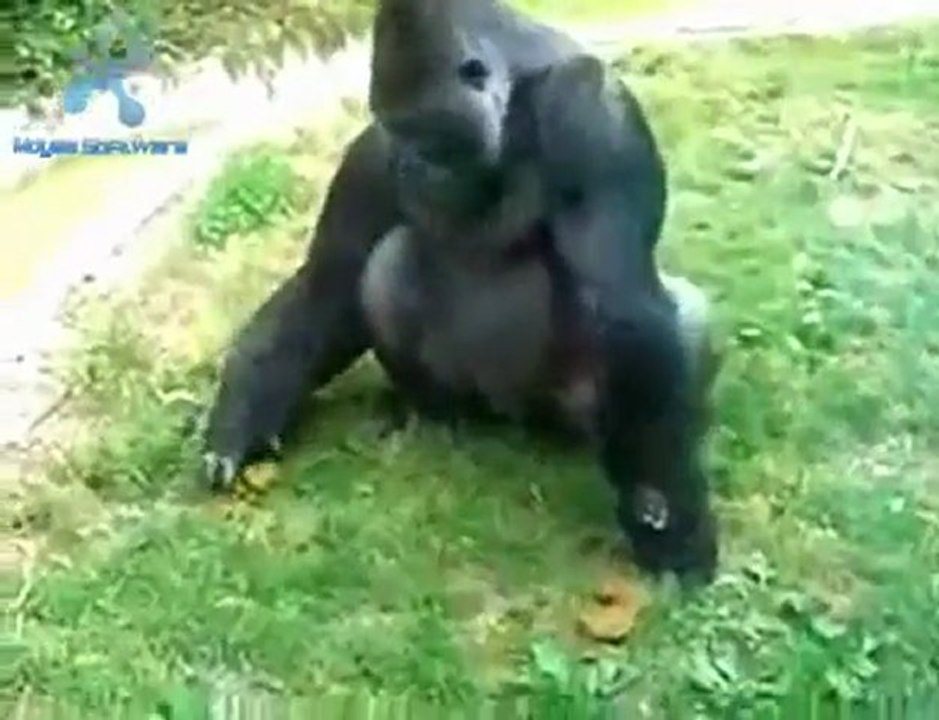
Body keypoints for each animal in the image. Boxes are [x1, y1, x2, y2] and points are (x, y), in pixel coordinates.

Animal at [203, 0, 721, 583]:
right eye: (396, 128)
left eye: (423, 130)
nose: (409, 161)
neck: (515, 96)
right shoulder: (370, 152)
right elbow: (327, 285)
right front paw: (238, 424)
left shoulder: (589, 109)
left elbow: (624, 310)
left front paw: (665, 516)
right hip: (473, 402)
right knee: (388, 265)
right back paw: (435, 418)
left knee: (687, 319)